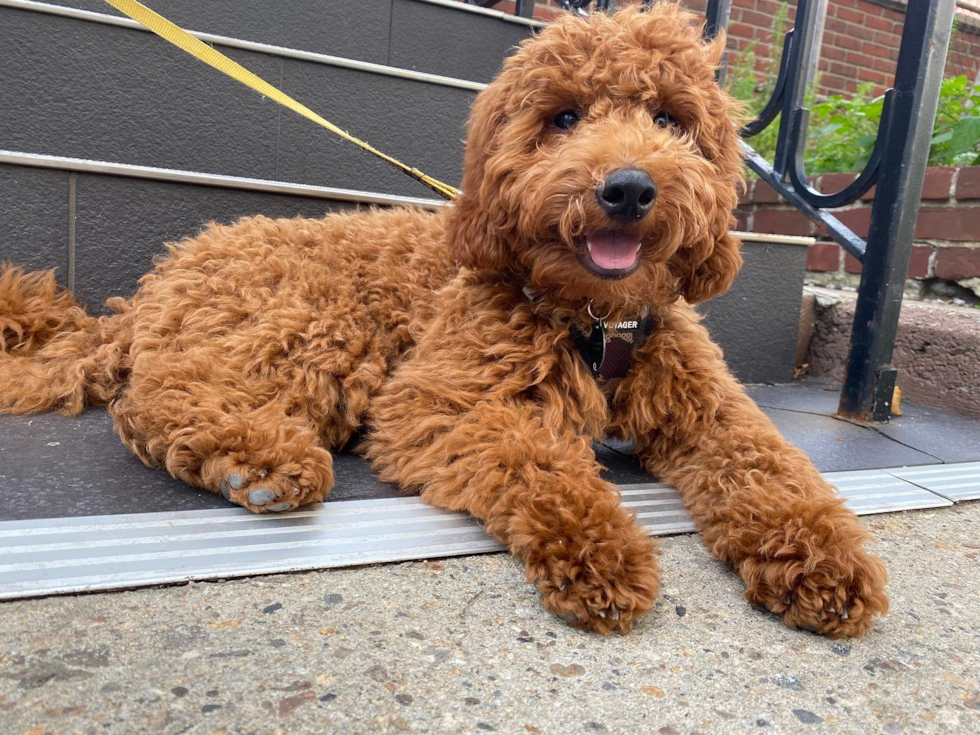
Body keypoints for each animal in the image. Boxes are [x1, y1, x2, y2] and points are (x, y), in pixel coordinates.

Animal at [0, 4, 888, 640]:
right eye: (565, 118)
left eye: (670, 118)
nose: (629, 188)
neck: (594, 317)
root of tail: (158, 281)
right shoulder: (440, 399)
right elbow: (537, 457)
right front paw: (600, 547)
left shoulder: (710, 408)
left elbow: (772, 468)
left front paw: (825, 558)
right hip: (314, 322)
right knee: (159, 396)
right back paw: (258, 460)